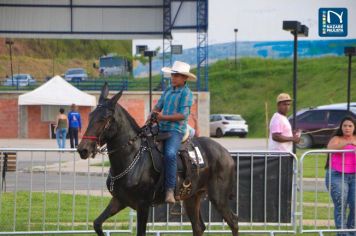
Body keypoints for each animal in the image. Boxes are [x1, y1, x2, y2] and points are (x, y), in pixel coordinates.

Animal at [78, 84, 239, 235]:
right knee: (198, 227)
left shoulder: (143, 205)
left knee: (233, 222)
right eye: (90, 116)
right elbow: (97, 224)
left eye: (104, 119)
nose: (82, 149)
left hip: (218, 198)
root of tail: (226, 153)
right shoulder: (119, 200)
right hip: (192, 197)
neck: (132, 157)